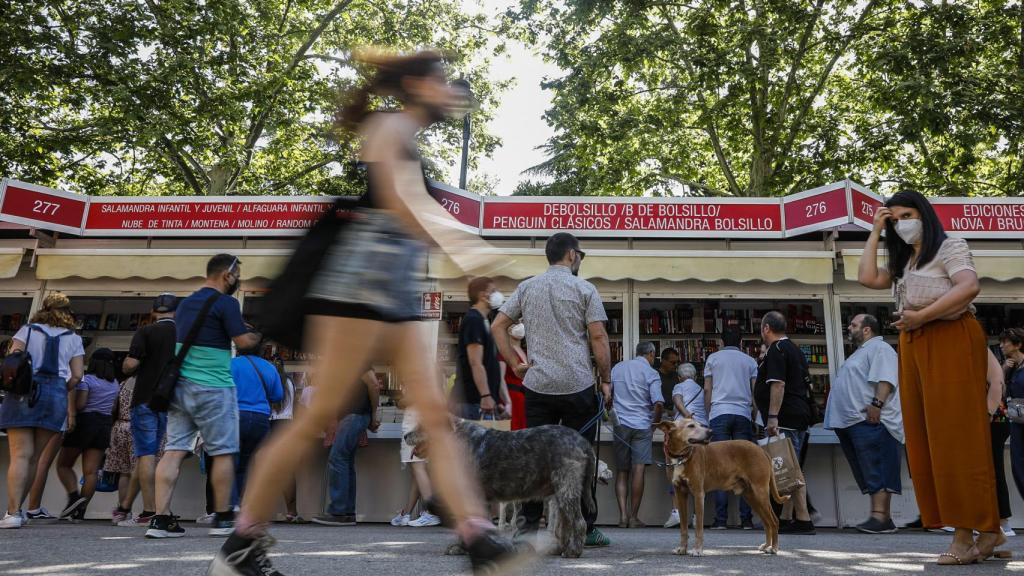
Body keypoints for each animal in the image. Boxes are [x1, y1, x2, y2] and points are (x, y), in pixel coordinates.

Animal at [403, 416, 598, 557]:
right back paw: (561, 549)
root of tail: (582, 441)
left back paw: (573, 551)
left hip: (566, 487)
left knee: (578, 522)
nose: (405, 435)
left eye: (423, 426)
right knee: (566, 523)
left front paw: (462, 548)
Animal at [659, 414, 786, 553]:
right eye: (691, 426)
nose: (710, 432)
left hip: (760, 493)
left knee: (774, 521)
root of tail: (761, 450)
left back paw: (774, 548)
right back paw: (767, 545)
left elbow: (699, 528)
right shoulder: (680, 494)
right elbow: (683, 527)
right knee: (766, 522)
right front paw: (682, 548)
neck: (681, 457)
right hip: (751, 497)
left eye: (699, 424)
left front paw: (697, 550)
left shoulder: (698, 494)